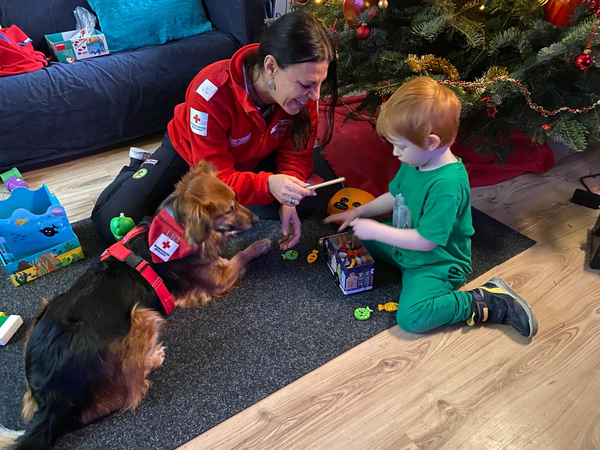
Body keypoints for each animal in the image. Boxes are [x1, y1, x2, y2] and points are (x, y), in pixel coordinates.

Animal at [0, 163, 270, 450]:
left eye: (237, 199)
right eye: (228, 209)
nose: (257, 220)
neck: (177, 226)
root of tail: (53, 398)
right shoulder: (217, 279)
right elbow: (241, 256)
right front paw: (262, 244)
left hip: (46, 307)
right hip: (143, 314)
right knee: (128, 392)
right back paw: (153, 359)